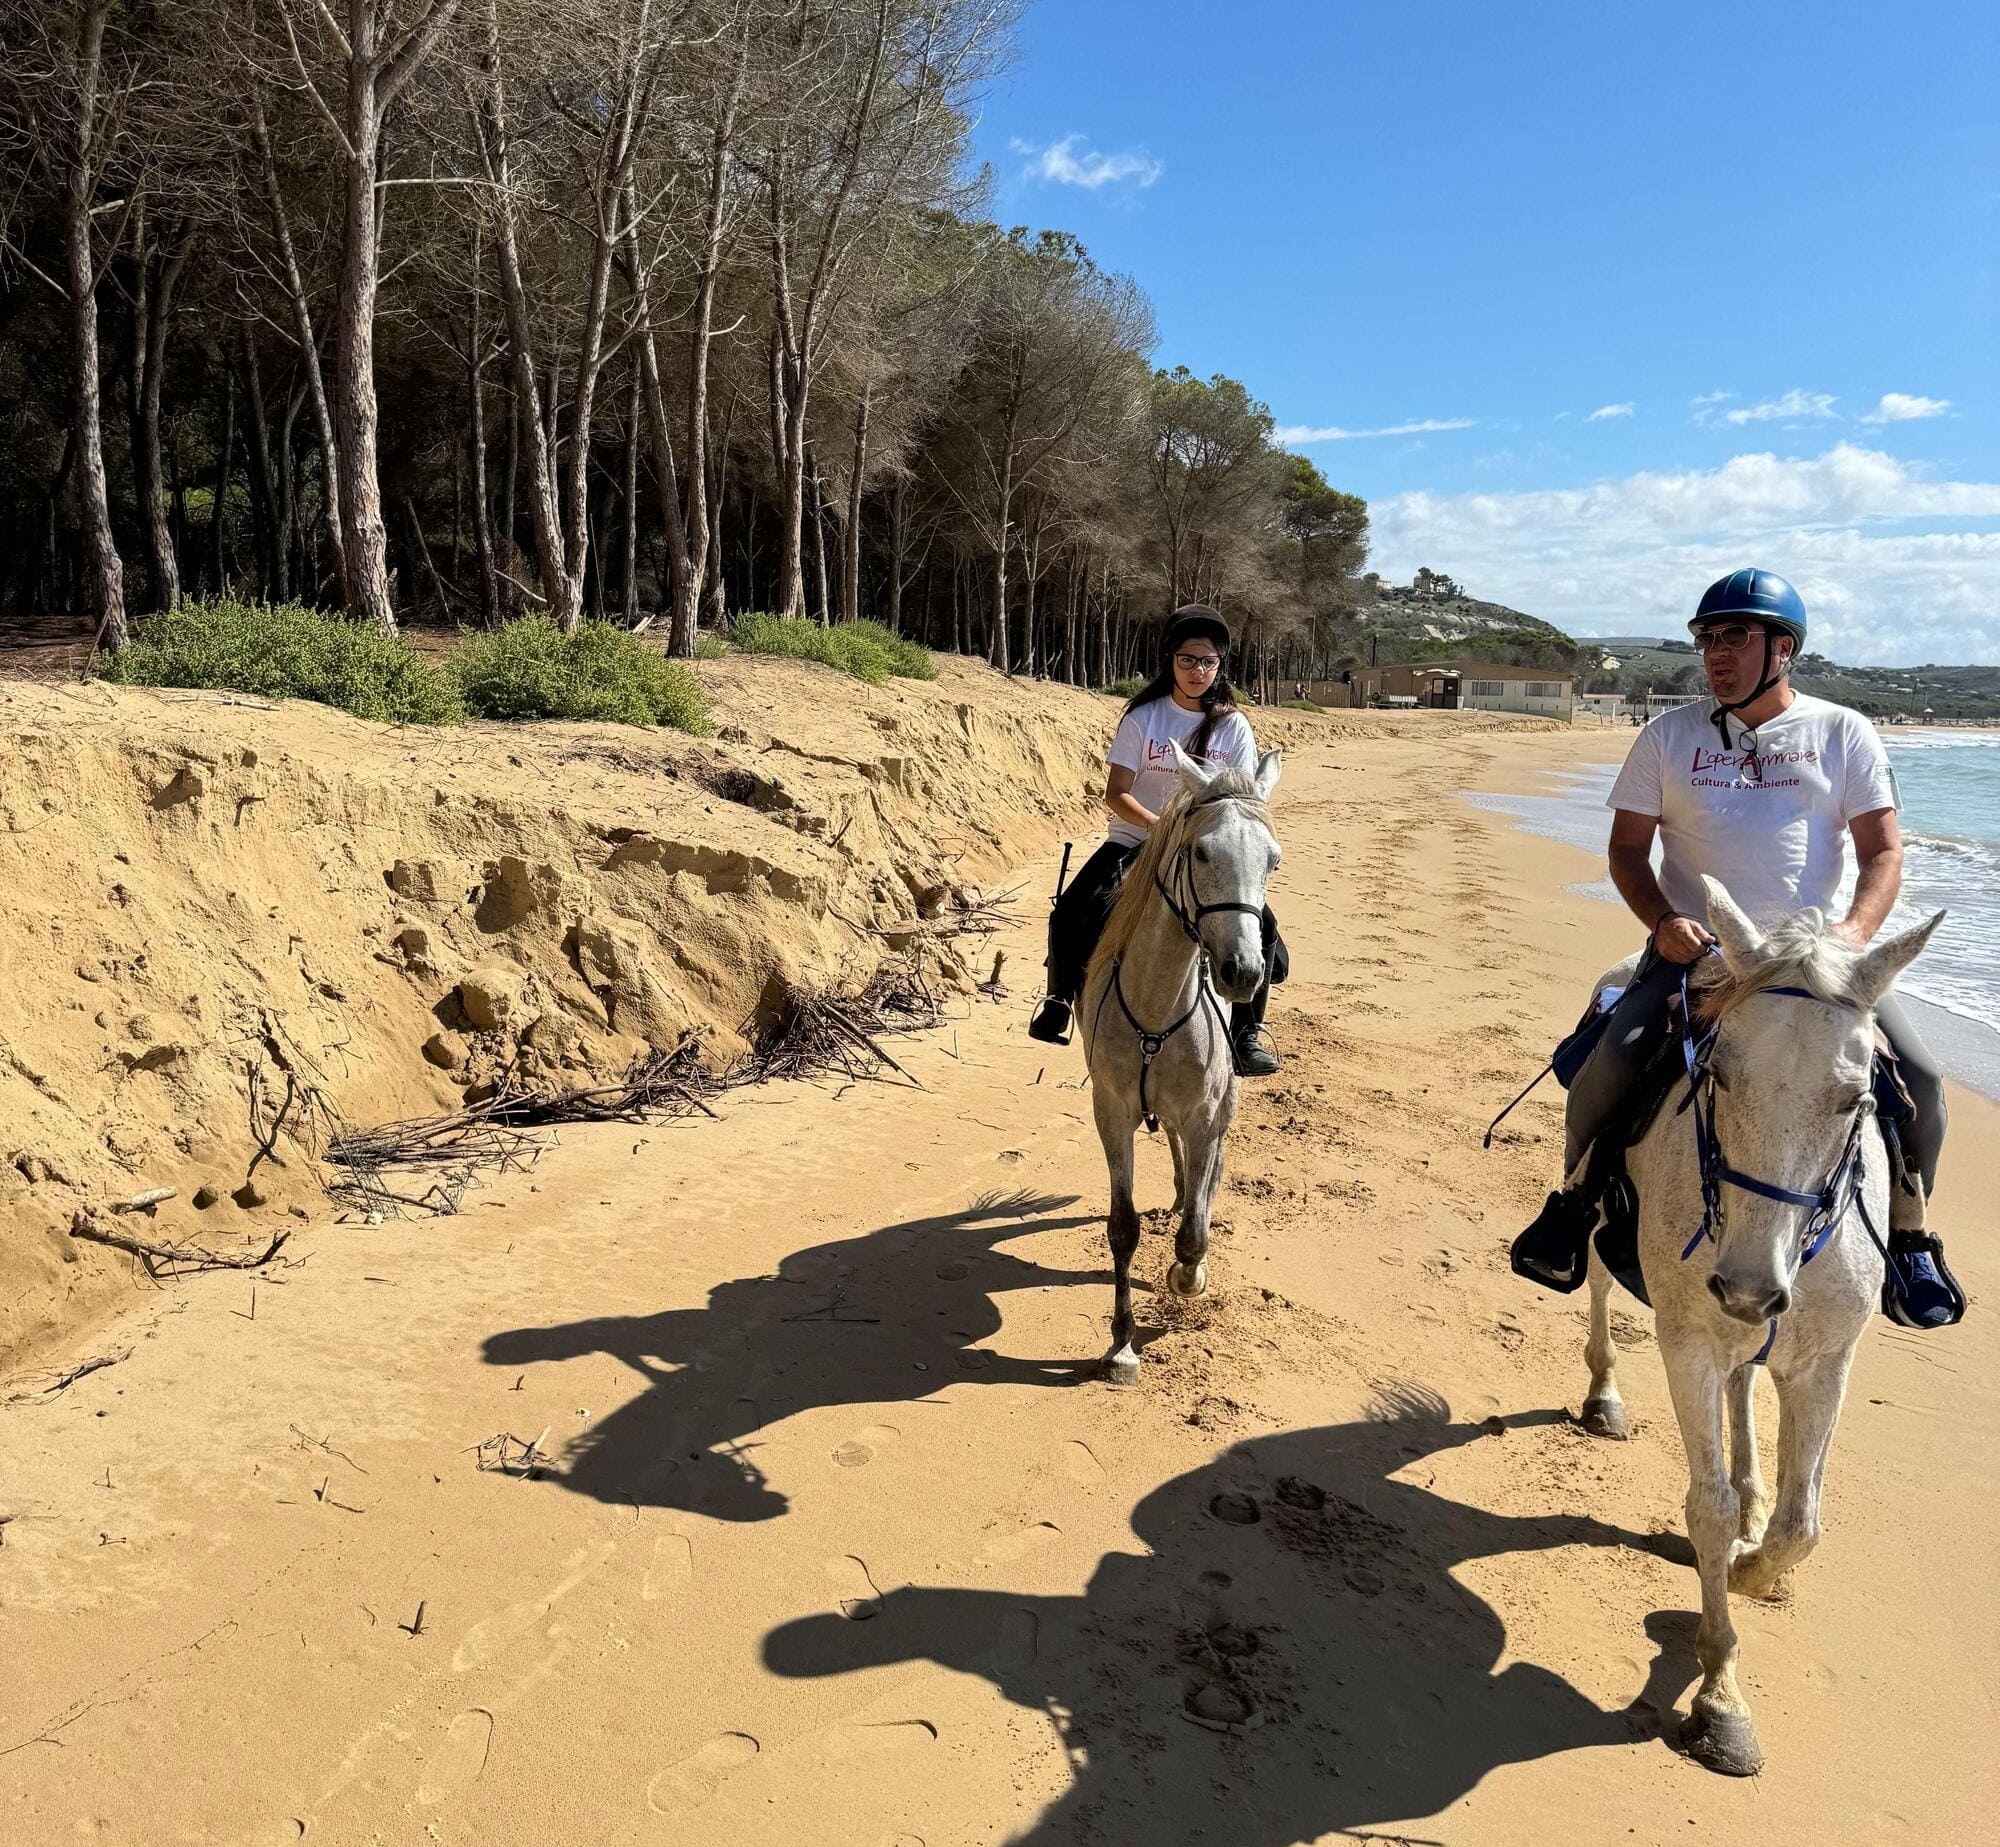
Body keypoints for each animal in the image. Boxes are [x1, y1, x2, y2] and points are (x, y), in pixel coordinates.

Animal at [1080, 743, 1280, 1375]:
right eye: (1200, 851)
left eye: (1272, 861)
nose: (1242, 972)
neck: (1158, 1002)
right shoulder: (1112, 1111)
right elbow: (1123, 1228)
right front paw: (1122, 1345)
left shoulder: (1205, 1115)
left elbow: (1194, 1233)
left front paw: (1187, 1276)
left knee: (1206, 1176)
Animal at [1576, 879, 1936, 1775]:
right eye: (1719, 1075)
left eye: (1857, 1099)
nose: (1745, 1284)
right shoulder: (1690, 1343)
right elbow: (1704, 1507)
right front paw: (1720, 1698)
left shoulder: (1826, 1361)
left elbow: (1801, 1523)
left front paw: (1751, 1564)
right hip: (1600, 1220)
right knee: (1596, 1284)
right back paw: (1604, 1397)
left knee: (1748, 1391)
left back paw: (1752, 1500)